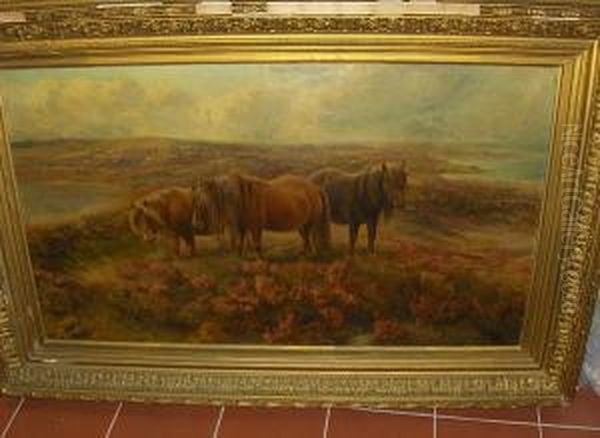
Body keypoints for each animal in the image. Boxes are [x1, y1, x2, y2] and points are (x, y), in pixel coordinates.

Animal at [193, 173, 330, 256]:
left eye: (202, 200)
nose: (197, 225)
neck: (244, 198)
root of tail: (315, 188)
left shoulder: (255, 226)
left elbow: (256, 243)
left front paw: (259, 258)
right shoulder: (243, 226)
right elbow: (241, 240)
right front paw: (239, 254)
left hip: (310, 223)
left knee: (309, 237)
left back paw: (310, 254)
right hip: (301, 224)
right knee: (305, 238)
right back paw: (304, 253)